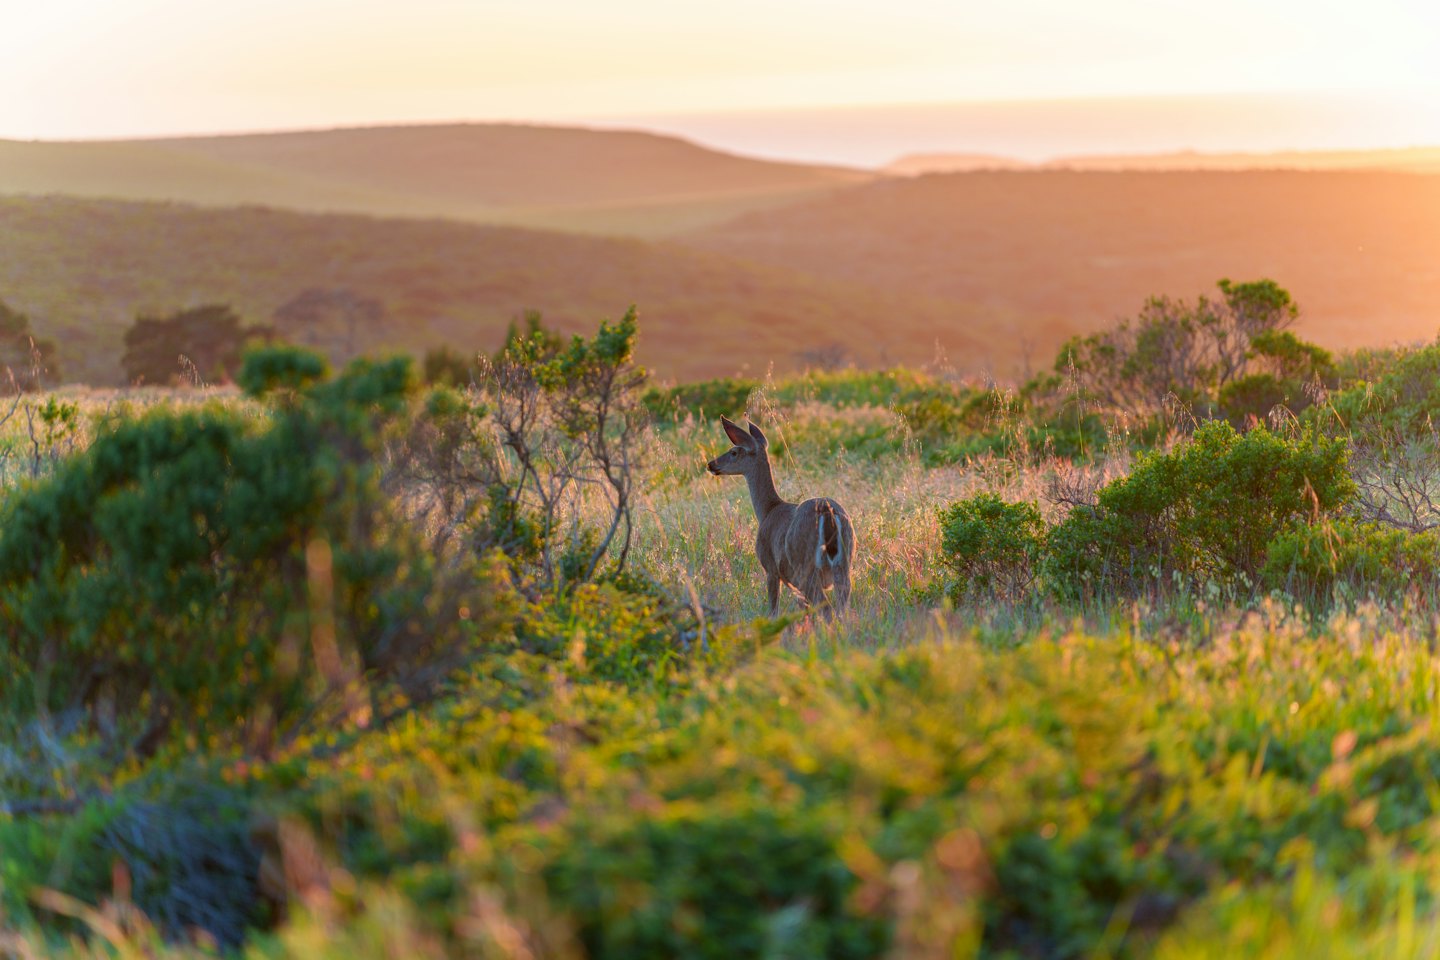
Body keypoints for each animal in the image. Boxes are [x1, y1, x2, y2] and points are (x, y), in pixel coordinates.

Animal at [706, 415, 854, 617]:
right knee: (842, 607)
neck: (767, 510)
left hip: (805, 566)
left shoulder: (770, 567)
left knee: (826, 608)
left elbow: (773, 611)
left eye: (734, 452)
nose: (711, 464)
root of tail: (827, 512)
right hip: (844, 563)